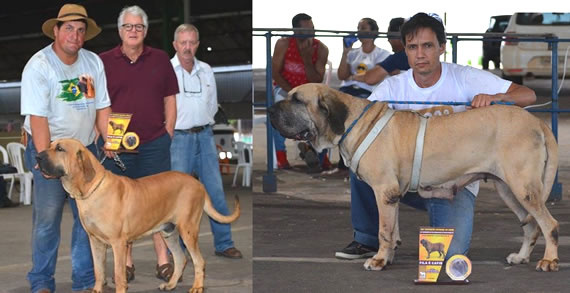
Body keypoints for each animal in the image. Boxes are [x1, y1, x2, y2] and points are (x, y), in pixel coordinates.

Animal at [35, 138, 240, 290]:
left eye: (60, 148)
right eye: (51, 144)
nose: (37, 156)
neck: (90, 189)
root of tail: (198, 183)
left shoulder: (118, 243)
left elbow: (118, 274)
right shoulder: (95, 241)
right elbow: (98, 271)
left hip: (187, 230)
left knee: (198, 260)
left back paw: (197, 287)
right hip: (169, 231)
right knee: (181, 258)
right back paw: (170, 285)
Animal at [268, 82, 556, 272]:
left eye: (297, 100)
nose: (269, 110)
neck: (352, 124)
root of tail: (537, 122)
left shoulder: (383, 190)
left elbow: (384, 230)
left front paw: (378, 260)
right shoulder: (391, 195)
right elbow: (392, 228)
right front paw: (388, 257)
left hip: (522, 187)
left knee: (549, 224)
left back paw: (550, 260)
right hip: (508, 189)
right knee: (531, 225)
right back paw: (521, 257)